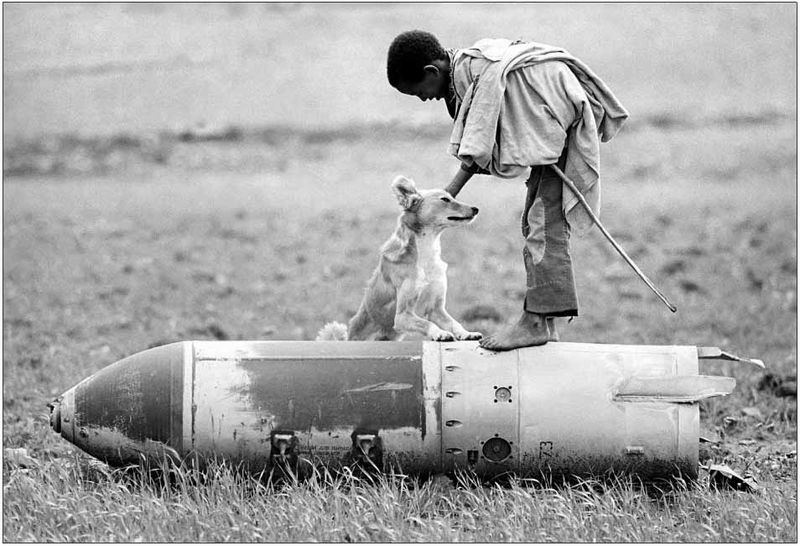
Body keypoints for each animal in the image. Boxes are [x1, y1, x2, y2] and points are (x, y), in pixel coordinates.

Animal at [318, 174, 482, 340]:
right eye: (445, 199)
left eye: (451, 197)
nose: (476, 209)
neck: (425, 255)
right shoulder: (402, 316)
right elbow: (427, 323)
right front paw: (440, 333)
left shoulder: (436, 310)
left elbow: (454, 323)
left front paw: (467, 333)